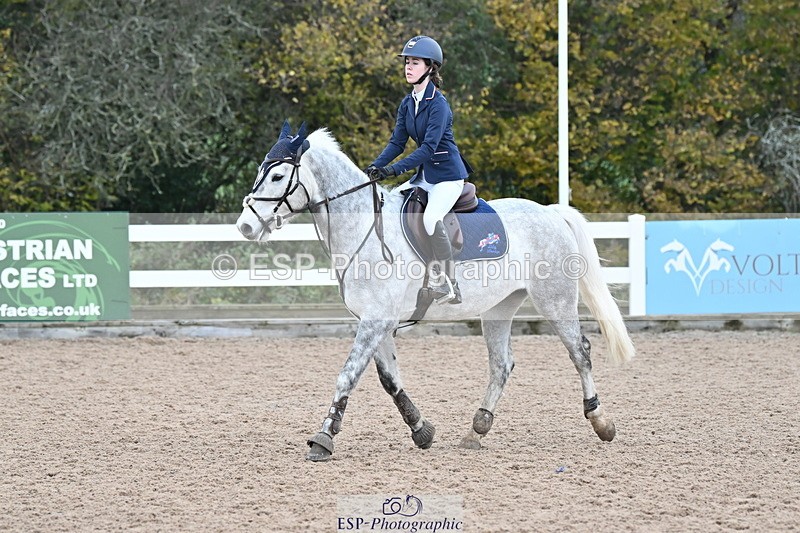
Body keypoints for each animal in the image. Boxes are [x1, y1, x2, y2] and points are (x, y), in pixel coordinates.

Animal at [236, 121, 635, 462]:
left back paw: (601, 422)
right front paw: (421, 430)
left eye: (277, 175)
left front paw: (324, 437)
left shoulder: (375, 321)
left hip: (555, 300)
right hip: (499, 308)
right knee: (501, 364)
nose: (244, 226)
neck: (363, 227)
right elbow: (389, 380)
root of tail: (552, 212)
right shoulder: (377, 321)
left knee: (580, 353)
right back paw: (477, 429)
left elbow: (347, 375)